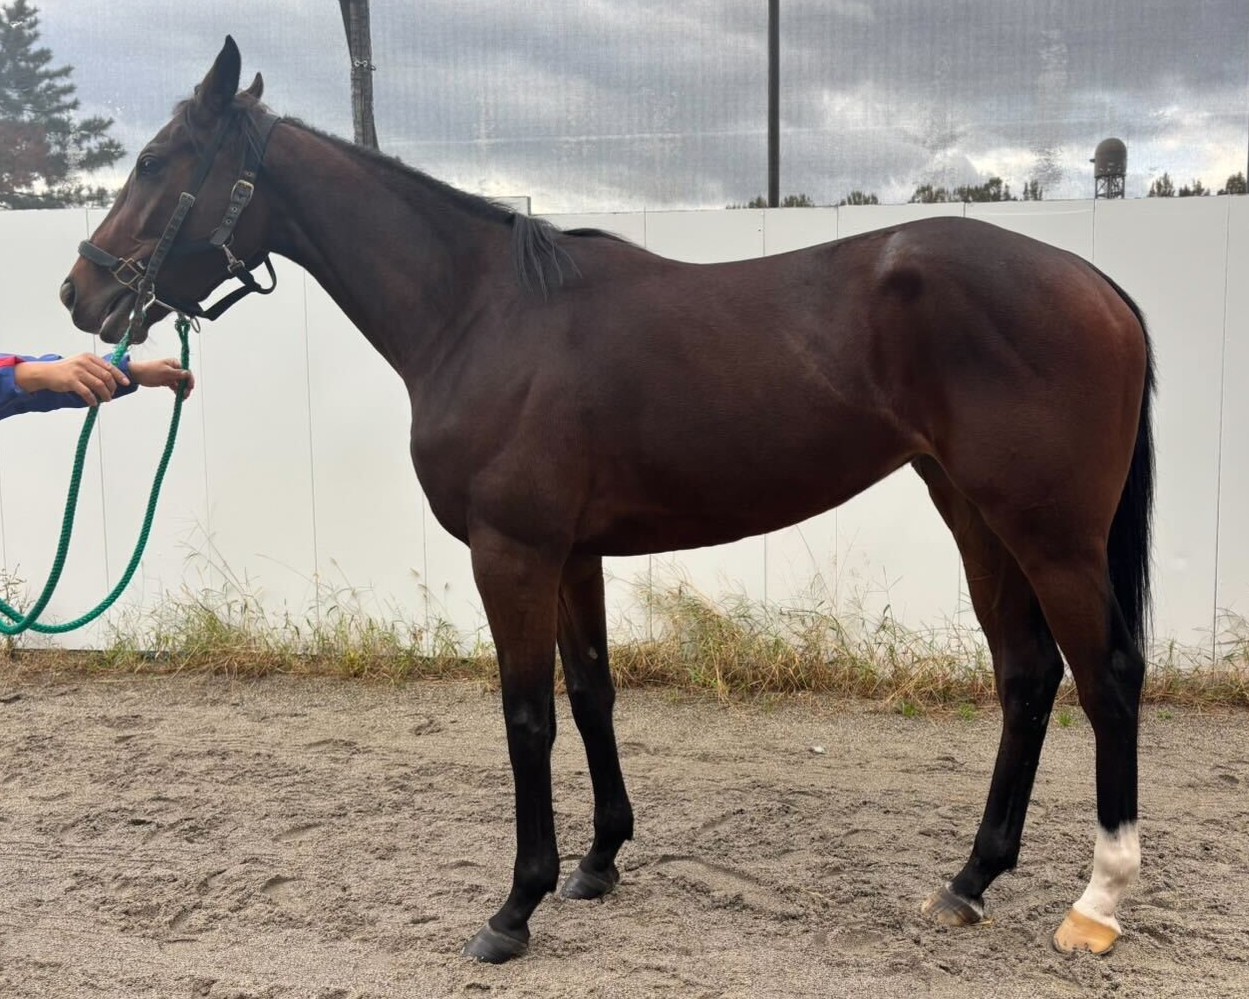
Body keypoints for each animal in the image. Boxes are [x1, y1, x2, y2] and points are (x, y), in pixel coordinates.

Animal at [62, 37, 1154, 963]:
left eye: (157, 161)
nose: (82, 293)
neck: (482, 315)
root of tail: (1095, 283)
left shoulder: (511, 552)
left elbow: (526, 716)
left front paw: (514, 907)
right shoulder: (572, 553)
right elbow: (591, 692)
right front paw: (597, 862)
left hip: (1050, 534)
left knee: (1104, 679)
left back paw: (1095, 905)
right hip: (974, 512)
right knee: (1025, 675)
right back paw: (968, 880)